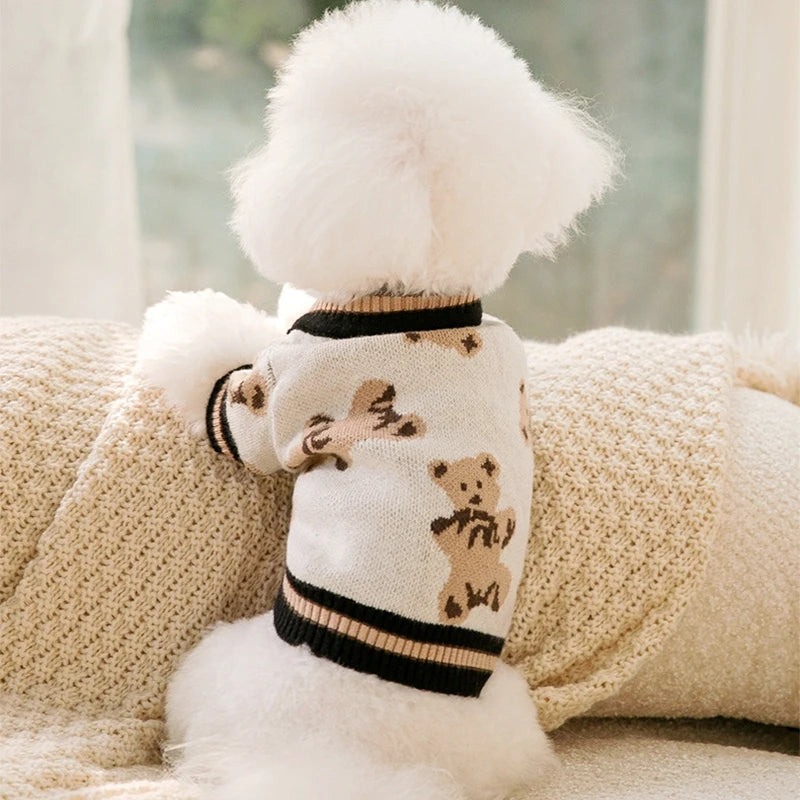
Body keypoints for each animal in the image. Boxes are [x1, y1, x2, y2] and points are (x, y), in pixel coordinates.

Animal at [428, 453, 516, 624]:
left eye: (480, 483)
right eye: (462, 486)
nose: (475, 498)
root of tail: (479, 596)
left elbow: (505, 519)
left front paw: (508, 525)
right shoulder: (455, 527)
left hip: (500, 572)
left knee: (502, 582)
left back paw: (495, 601)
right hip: (456, 587)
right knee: (454, 601)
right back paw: (453, 610)